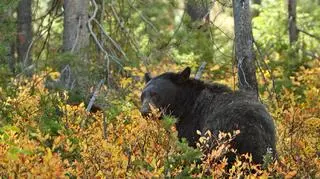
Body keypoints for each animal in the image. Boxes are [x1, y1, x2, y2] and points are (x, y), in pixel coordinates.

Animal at [141, 67, 276, 165]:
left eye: (155, 94)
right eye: (143, 95)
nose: (144, 111)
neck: (186, 104)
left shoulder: (193, 123)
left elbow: (188, 144)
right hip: (269, 146)